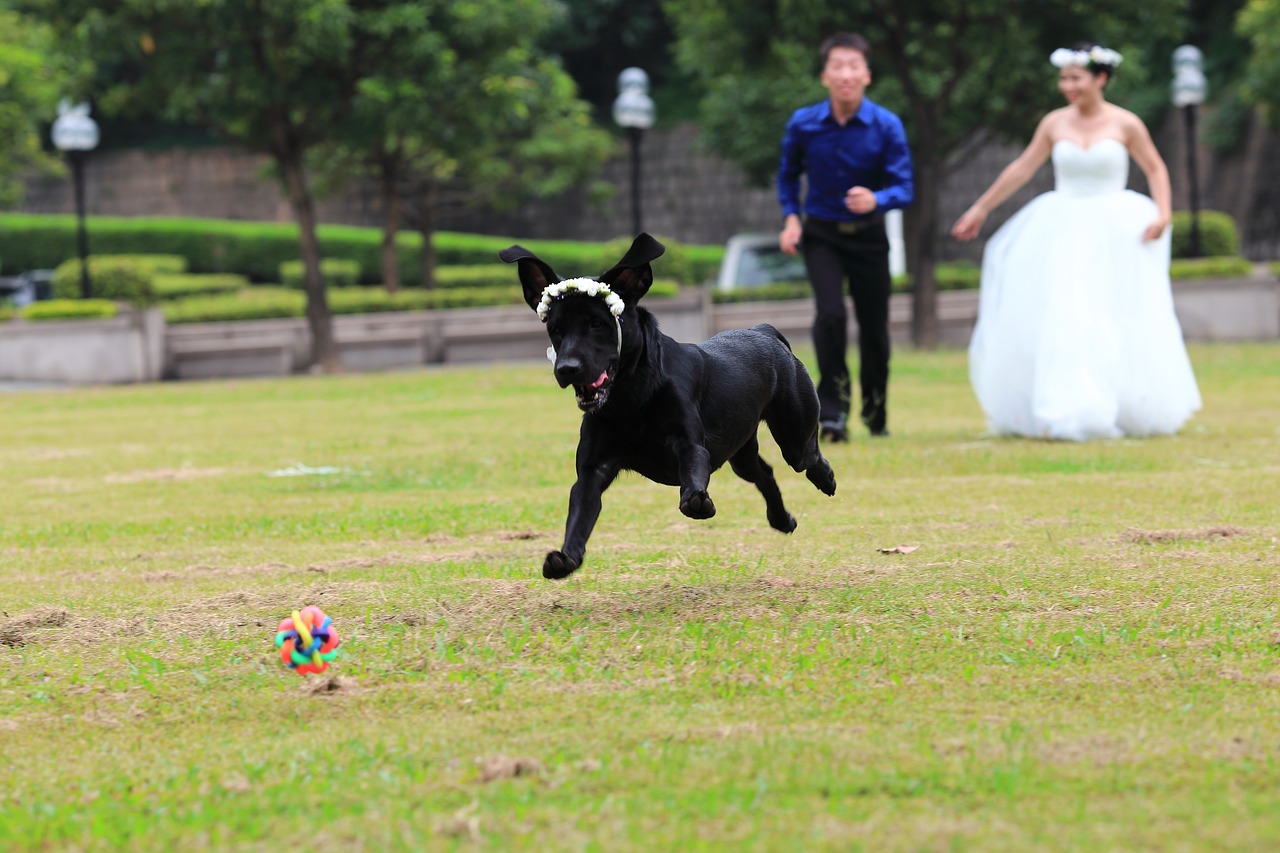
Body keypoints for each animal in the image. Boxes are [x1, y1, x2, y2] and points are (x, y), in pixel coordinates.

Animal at [499, 233, 839, 578]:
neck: (631, 400)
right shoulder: (593, 470)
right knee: (764, 473)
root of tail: (763, 330)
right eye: (555, 329)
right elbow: (580, 512)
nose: (566, 368)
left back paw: (825, 478)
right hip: (740, 451)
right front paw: (565, 558)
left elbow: (692, 470)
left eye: (597, 322)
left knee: (808, 456)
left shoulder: (689, 443)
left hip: (794, 432)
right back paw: (782, 520)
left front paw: (696, 500)